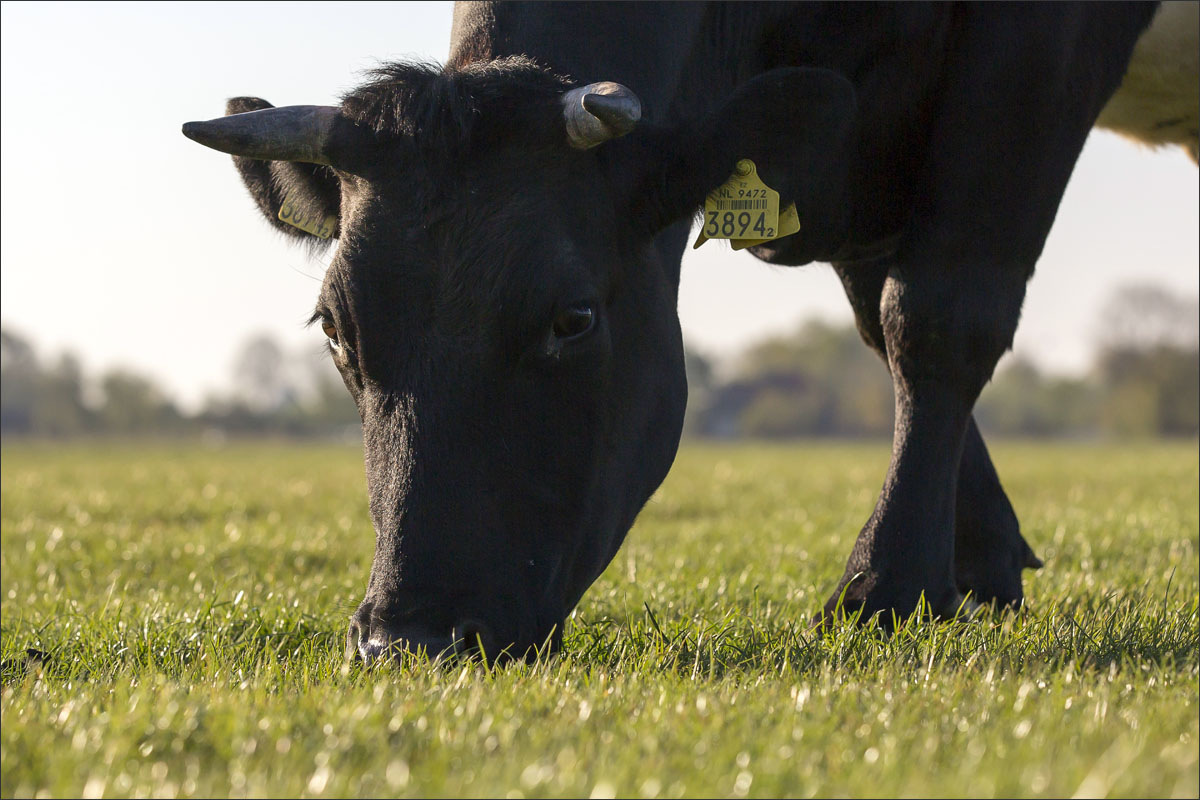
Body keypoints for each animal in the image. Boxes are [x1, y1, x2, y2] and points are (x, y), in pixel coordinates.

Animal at [183, 2, 1166, 660]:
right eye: (333, 328)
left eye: (572, 318)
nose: (413, 638)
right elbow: (877, 317)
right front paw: (982, 566)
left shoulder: (1036, 47)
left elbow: (936, 311)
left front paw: (890, 590)